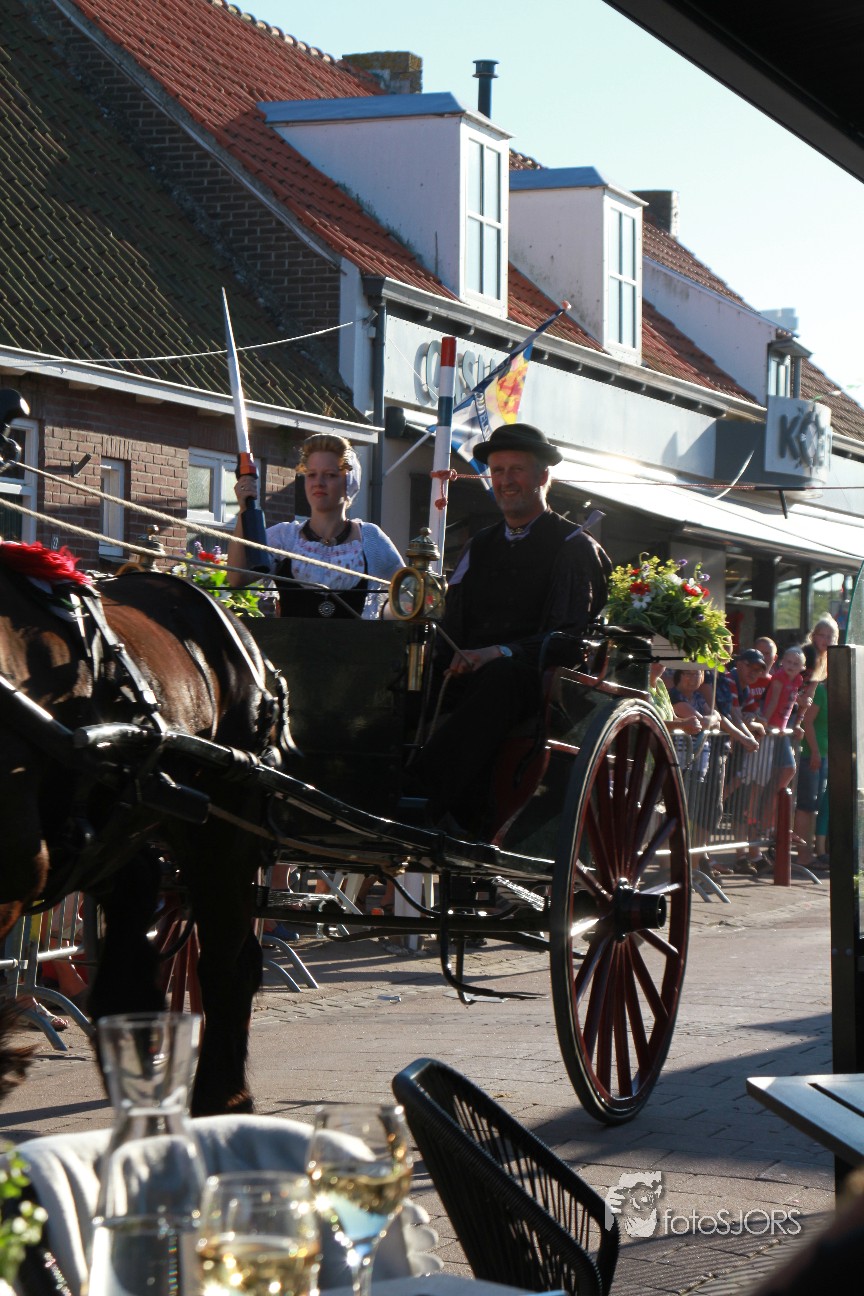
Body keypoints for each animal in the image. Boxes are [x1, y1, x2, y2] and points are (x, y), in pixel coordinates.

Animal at [0, 546, 288, 1115]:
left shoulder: (13, 872)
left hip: (224, 833)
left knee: (228, 963)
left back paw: (221, 1098)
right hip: (124, 824)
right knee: (141, 899)